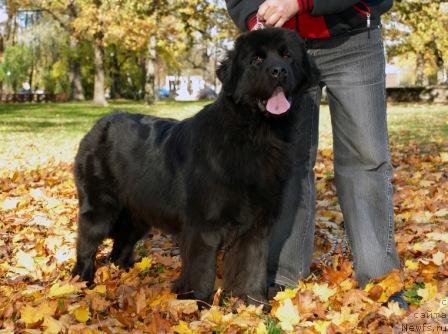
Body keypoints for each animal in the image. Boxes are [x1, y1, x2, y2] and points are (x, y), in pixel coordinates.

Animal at [72, 28, 318, 304]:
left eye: (287, 56)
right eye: (256, 59)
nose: (278, 71)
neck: (255, 135)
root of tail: (97, 126)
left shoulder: (256, 226)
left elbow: (252, 267)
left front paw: (253, 303)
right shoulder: (204, 226)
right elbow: (201, 270)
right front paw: (195, 303)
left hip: (137, 214)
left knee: (120, 247)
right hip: (100, 208)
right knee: (86, 245)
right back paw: (82, 283)